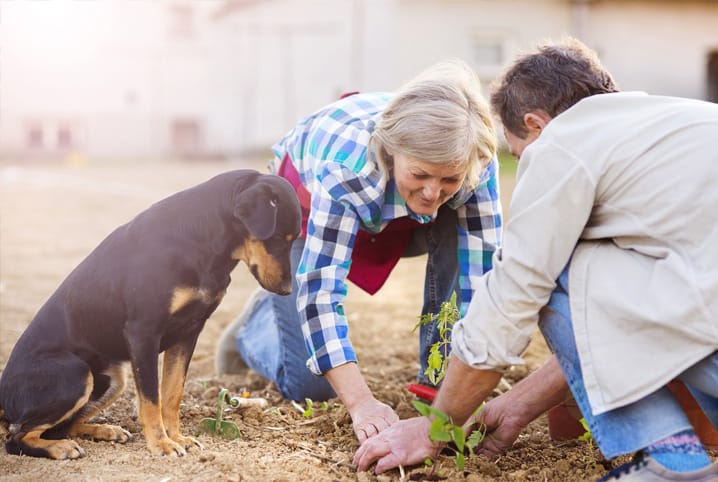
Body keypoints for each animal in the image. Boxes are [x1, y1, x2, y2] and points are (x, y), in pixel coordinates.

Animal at [0, 170, 300, 460]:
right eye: (277, 238)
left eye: (293, 240)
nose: (287, 290)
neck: (201, 241)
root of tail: (2, 393)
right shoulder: (143, 333)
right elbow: (151, 399)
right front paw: (161, 444)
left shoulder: (188, 333)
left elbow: (172, 394)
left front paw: (177, 437)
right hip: (76, 374)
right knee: (17, 438)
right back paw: (60, 448)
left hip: (114, 379)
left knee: (61, 427)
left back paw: (105, 431)